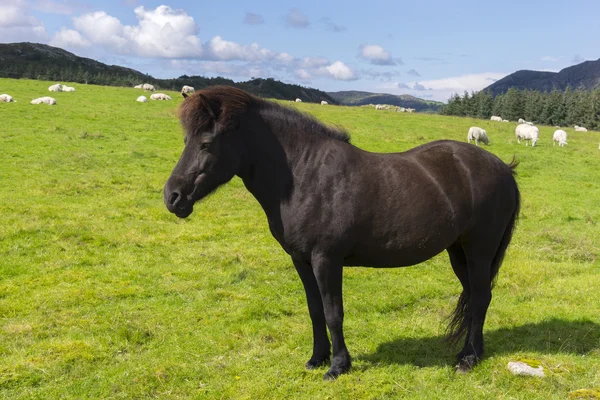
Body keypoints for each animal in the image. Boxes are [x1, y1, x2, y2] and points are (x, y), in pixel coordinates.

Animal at [164, 86, 520, 380]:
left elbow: (334, 312)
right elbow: (315, 310)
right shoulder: (302, 261)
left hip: (479, 250)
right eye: (185, 141)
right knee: (474, 296)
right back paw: (470, 352)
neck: (303, 175)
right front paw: (316, 358)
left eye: (206, 144)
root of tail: (503, 168)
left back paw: (468, 359)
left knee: (481, 297)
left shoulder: (327, 260)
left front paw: (338, 366)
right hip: (458, 251)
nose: (172, 197)